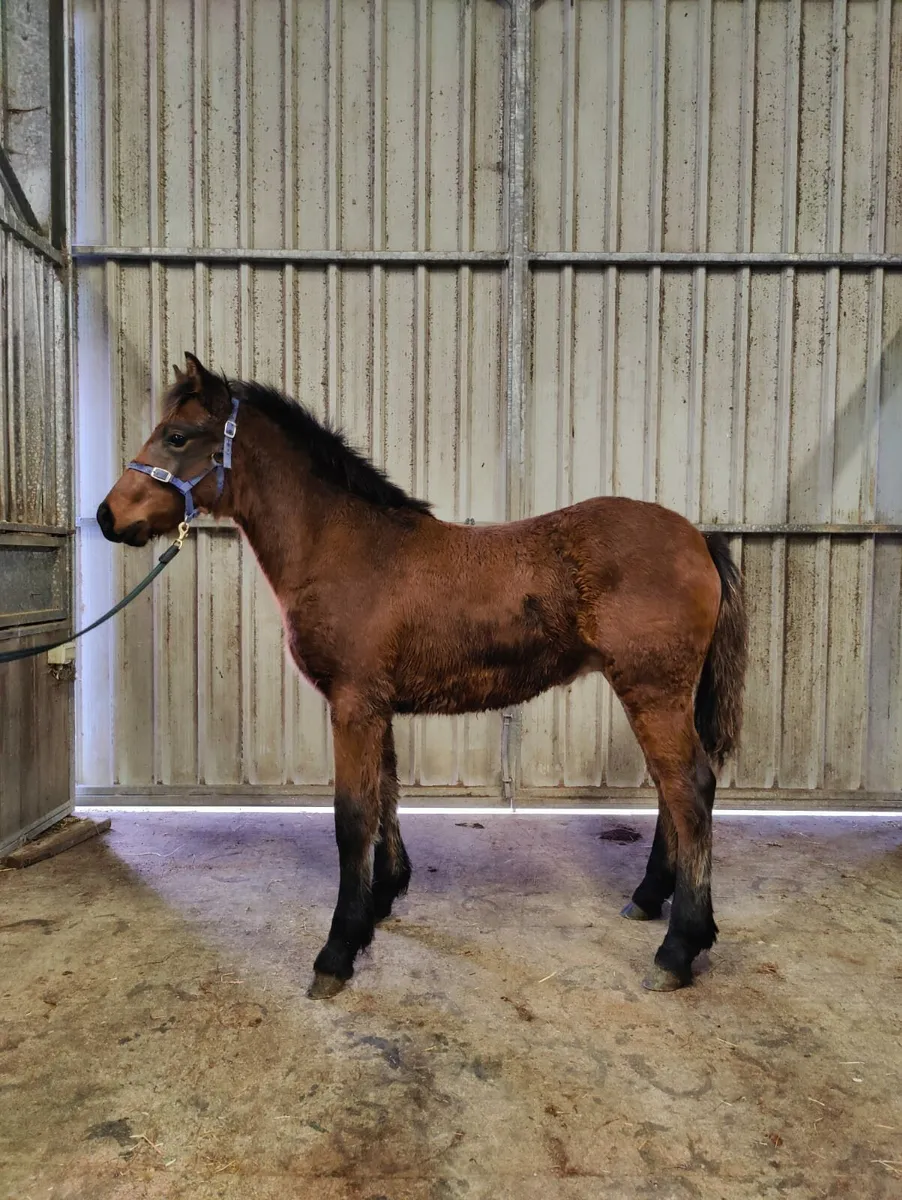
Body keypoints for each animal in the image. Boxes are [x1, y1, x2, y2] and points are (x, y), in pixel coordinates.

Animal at [97, 352, 748, 998]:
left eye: (176, 437)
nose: (107, 516)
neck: (349, 548)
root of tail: (697, 536)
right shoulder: (375, 706)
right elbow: (385, 794)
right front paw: (382, 900)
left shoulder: (353, 705)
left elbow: (352, 816)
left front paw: (338, 949)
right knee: (671, 788)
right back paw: (649, 898)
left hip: (652, 692)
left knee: (690, 788)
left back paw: (679, 947)